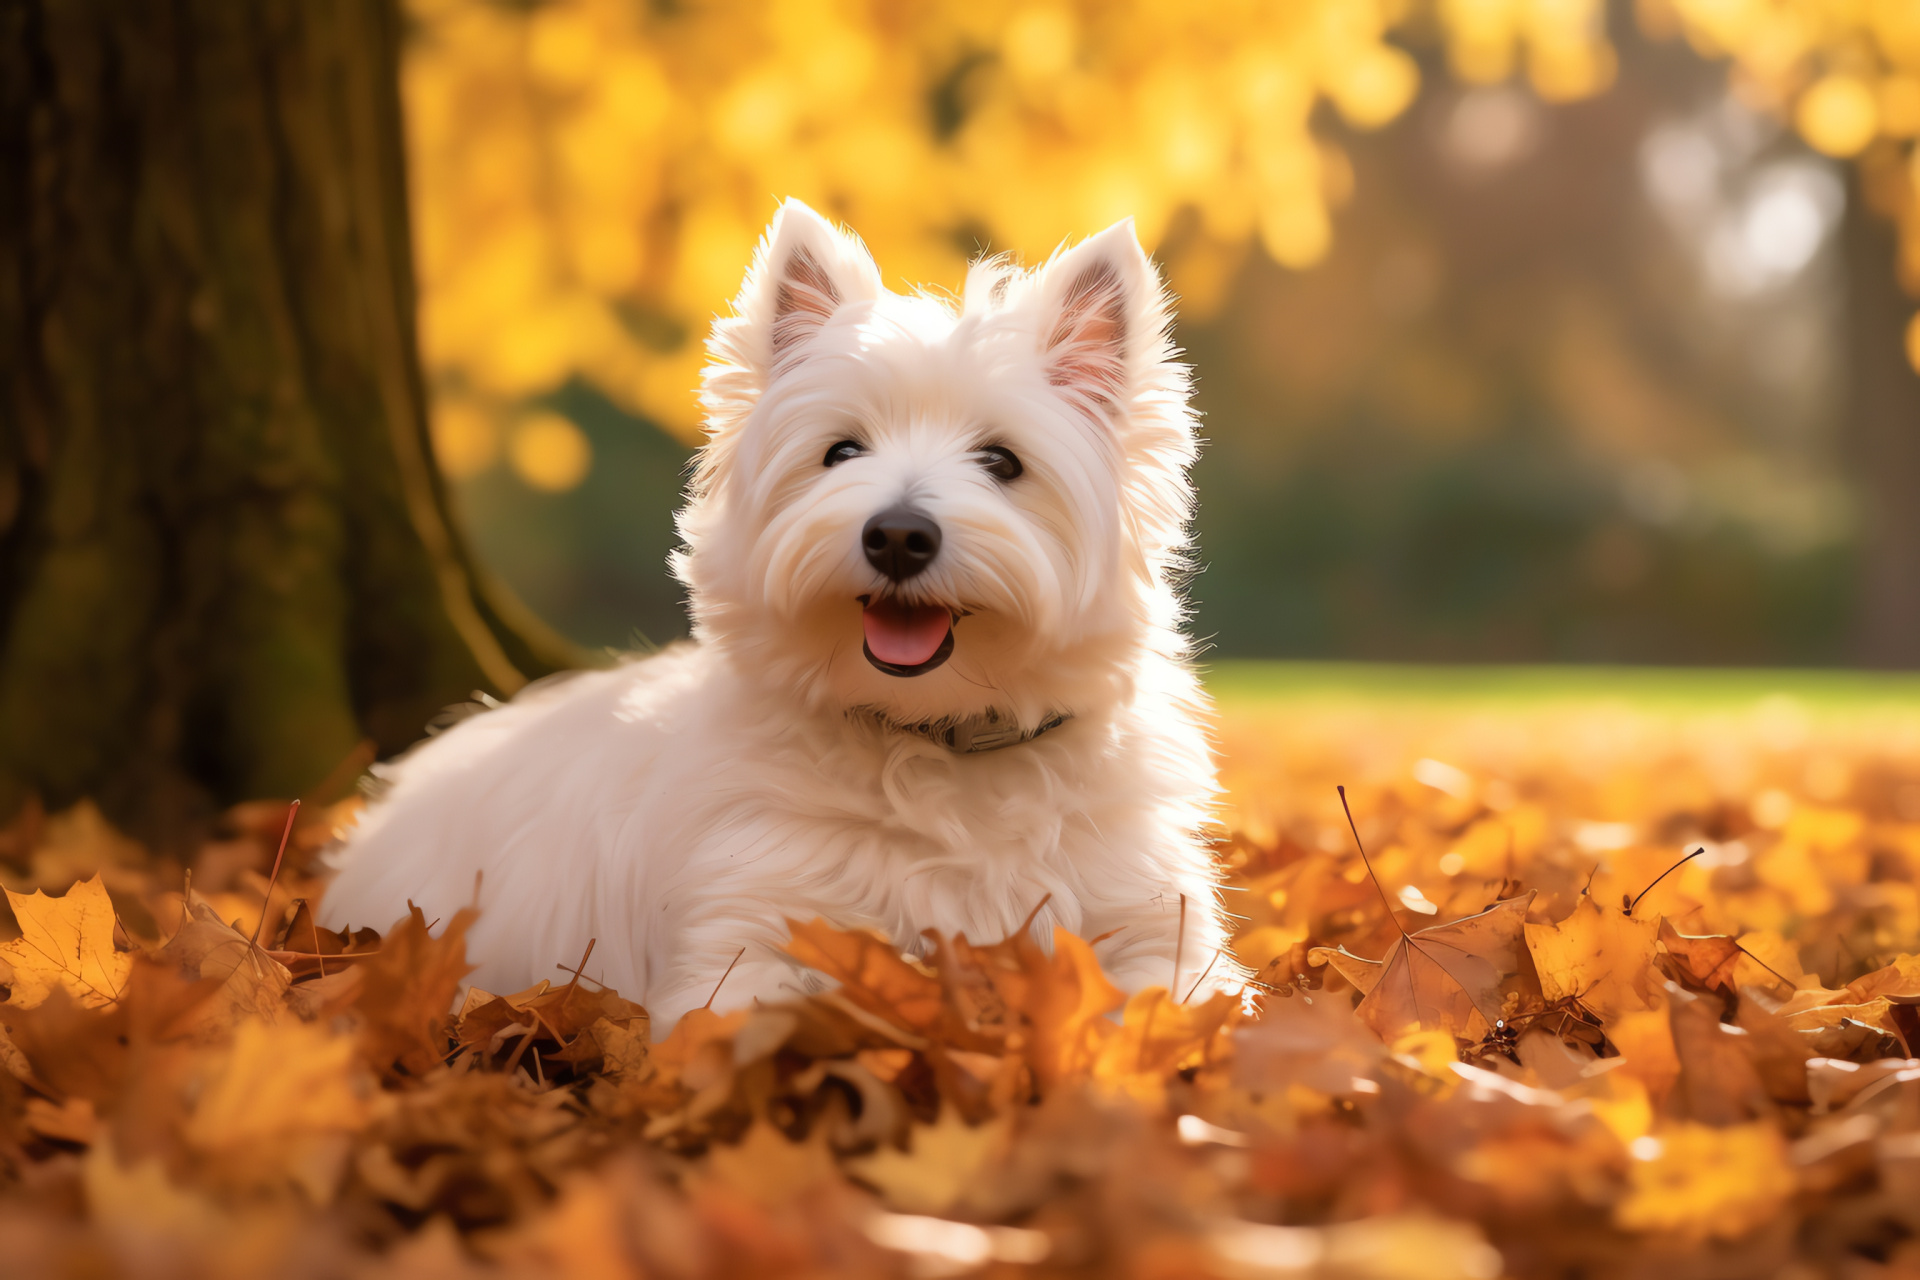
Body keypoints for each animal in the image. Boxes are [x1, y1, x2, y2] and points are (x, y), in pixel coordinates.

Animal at [322, 205, 1236, 1036]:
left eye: (1002, 462)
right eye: (841, 452)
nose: (897, 535)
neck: (939, 744)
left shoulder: (1153, 923)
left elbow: (1171, 1003)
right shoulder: (747, 923)